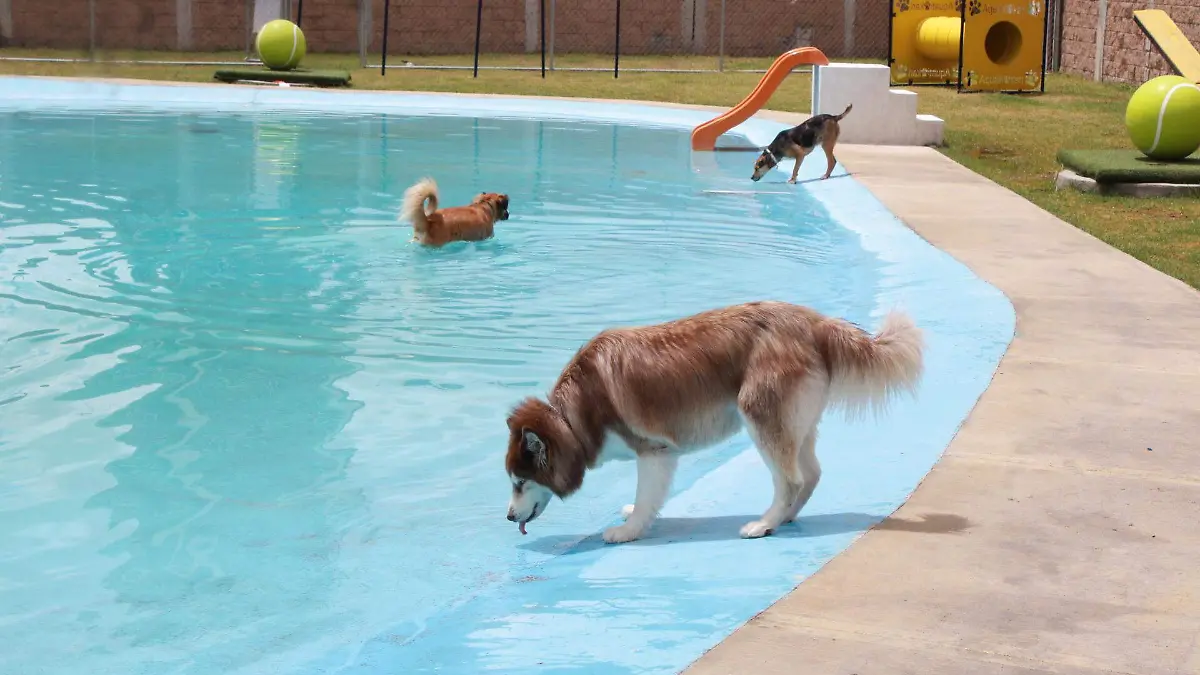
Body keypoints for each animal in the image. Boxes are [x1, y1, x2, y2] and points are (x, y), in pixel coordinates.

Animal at [501, 299, 921, 540]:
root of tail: (815, 321)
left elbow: (645, 496)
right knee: (811, 474)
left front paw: (629, 530)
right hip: (796, 424)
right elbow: (646, 500)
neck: (574, 415)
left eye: (520, 482)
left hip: (760, 416)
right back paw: (785, 518)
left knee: (790, 479)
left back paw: (764, 524)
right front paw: (635, 516)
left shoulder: (654, 452)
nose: (507, 516)